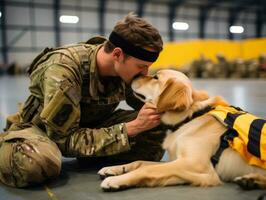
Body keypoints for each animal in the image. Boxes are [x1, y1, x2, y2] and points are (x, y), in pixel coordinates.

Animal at [97, 69, 266, 191]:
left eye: (155, 78)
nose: (135, 75)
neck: (189, 118)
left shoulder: (197, 166)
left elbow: (147, 170)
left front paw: (116, 180)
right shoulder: (182, 166)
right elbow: (141, 162)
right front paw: (115, 169)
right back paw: (250, 180)